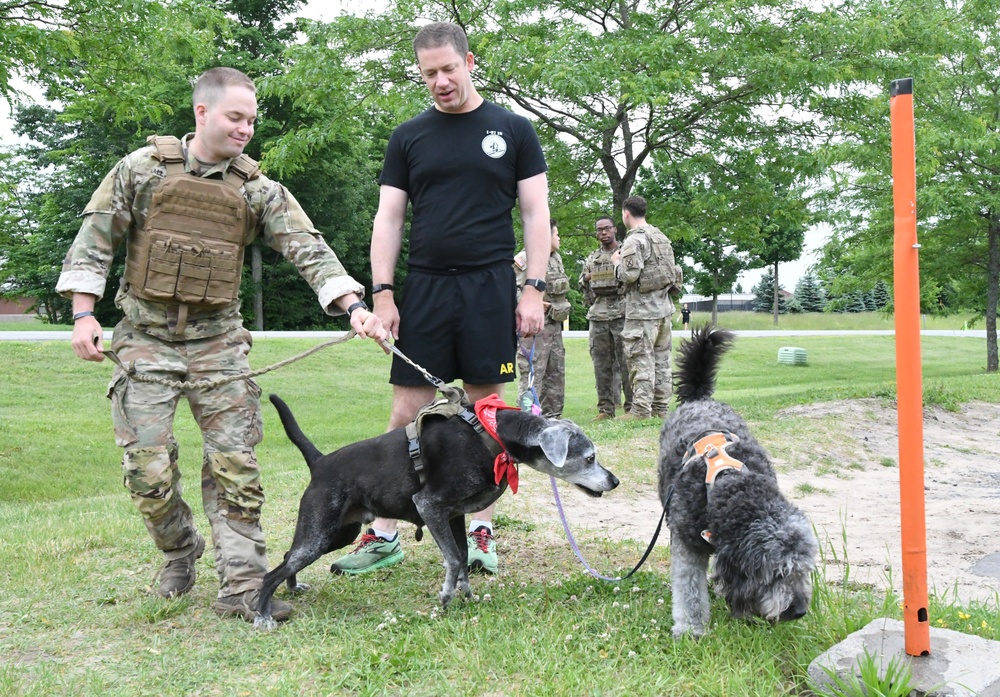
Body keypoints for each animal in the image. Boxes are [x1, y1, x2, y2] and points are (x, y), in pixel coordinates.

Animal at [256, 394, 616, 628]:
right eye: (589, 458)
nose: (614, 480)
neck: (491, 436)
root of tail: (319, 463)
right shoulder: (430, 507)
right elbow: (454, 559)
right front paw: (445, 596)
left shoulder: (453, 515)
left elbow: (464, 560)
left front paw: (466, 597)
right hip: (320, 533)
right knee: (270, 573)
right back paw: (263, 615)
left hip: (336, 534)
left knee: (287, 557)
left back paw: (291, 588)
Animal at [660, 326, 816, 636]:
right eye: (777, 573)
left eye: (804, 570)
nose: (799, 611)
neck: (728, 484)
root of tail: (700, 400)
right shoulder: (686, 542)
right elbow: (689, 587)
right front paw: (691, 628)